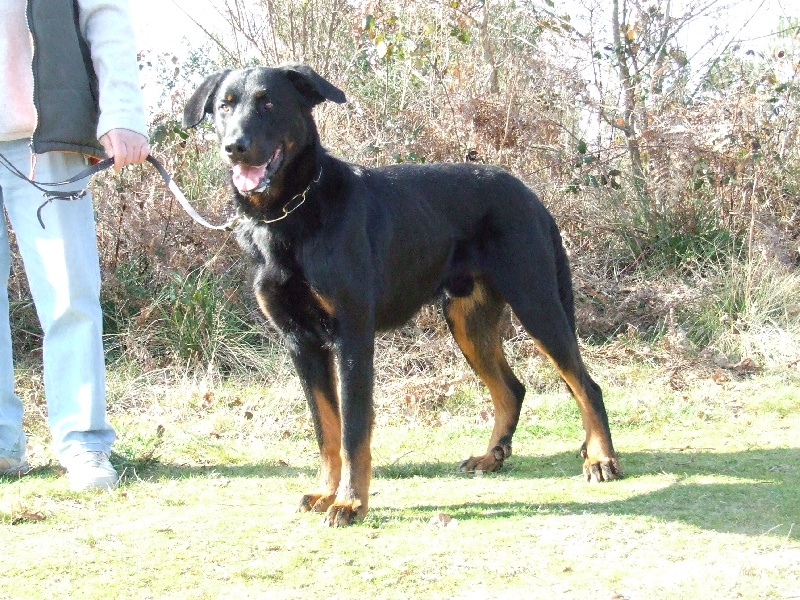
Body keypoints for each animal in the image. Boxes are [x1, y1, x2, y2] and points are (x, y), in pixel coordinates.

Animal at [184, 64, 620, 524]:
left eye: (268, 102)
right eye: (224, 106)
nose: (235, 147)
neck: (291, 213)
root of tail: (530, 196)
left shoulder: (352, 338)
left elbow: (353, 430)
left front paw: (350, 501)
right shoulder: (301, 344)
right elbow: (326, 430)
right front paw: (327, 492)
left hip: (536, 303)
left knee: (586, 386)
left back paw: (601, 459)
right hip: (467, 321)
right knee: (511, 389)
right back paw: (492, 456)